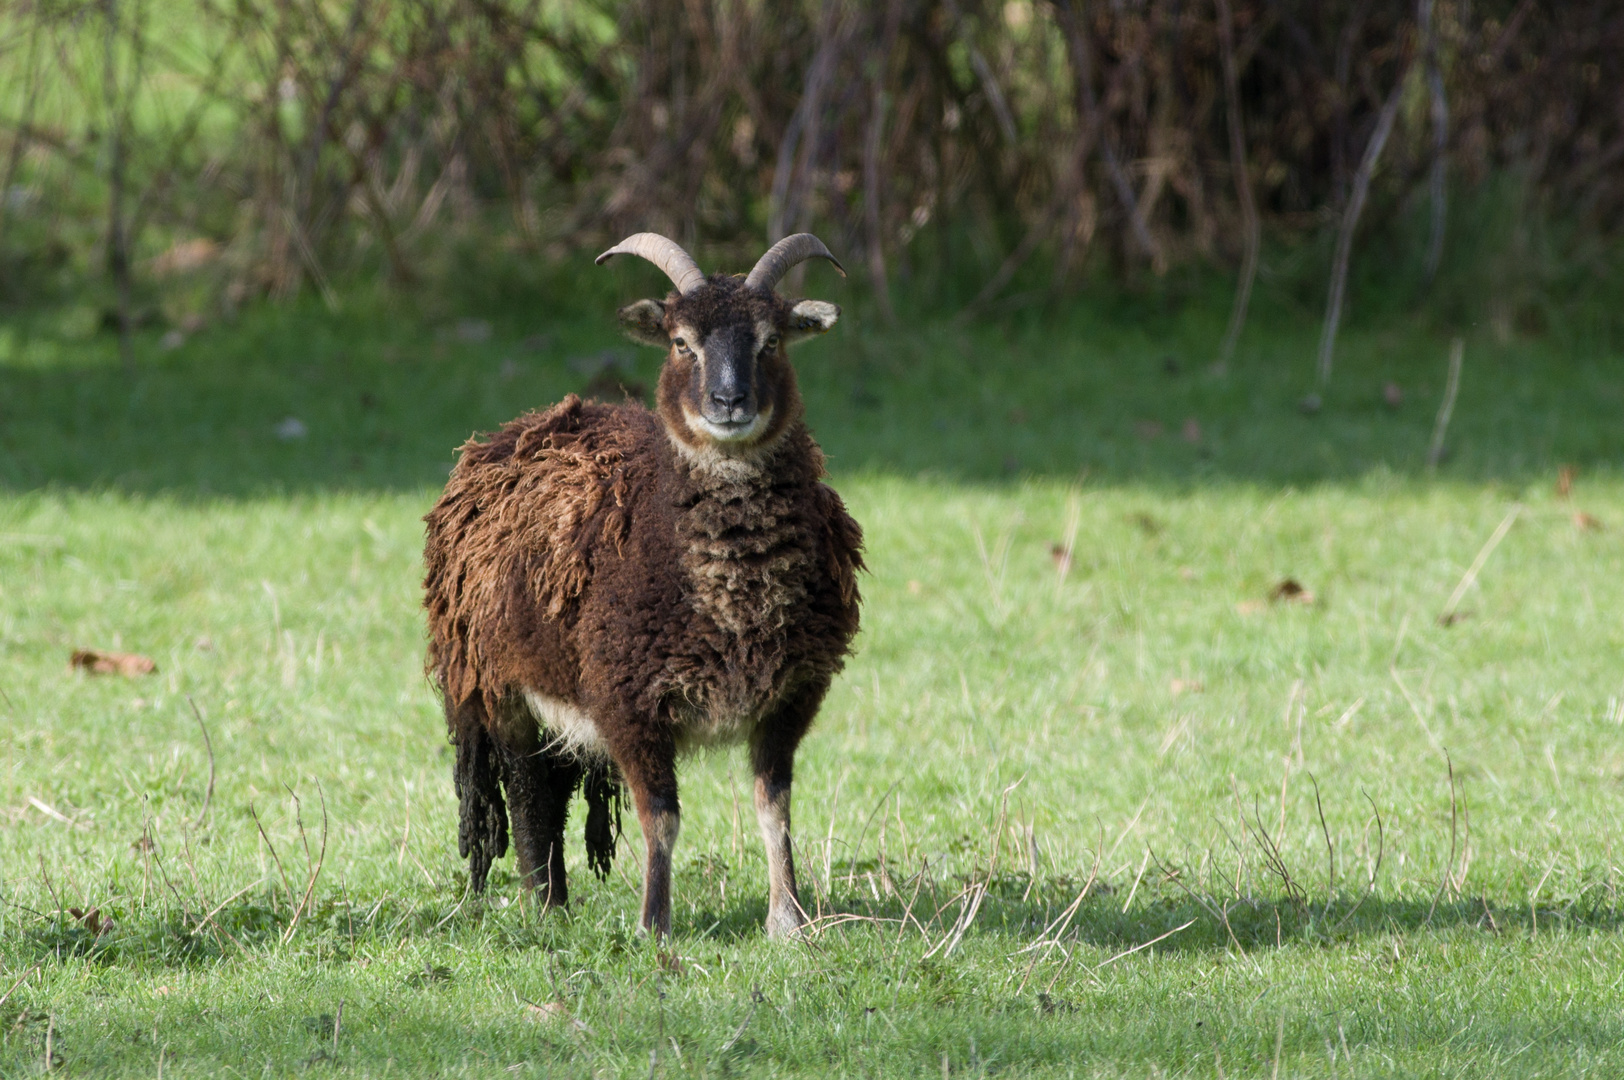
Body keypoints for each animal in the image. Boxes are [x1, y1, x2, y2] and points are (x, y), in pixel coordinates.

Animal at [425, 233, 870, 935]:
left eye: (771, 341)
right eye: (681, 343)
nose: (729, 403)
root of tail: (518, 428)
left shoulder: (790, 696)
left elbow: (773, 807)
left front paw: (790, 922)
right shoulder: (627, 699)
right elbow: (661, 816)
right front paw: (653, 926)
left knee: (550, 785)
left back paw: (557, 902)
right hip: (502, 683)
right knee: (528, 794)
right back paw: (545, 908)